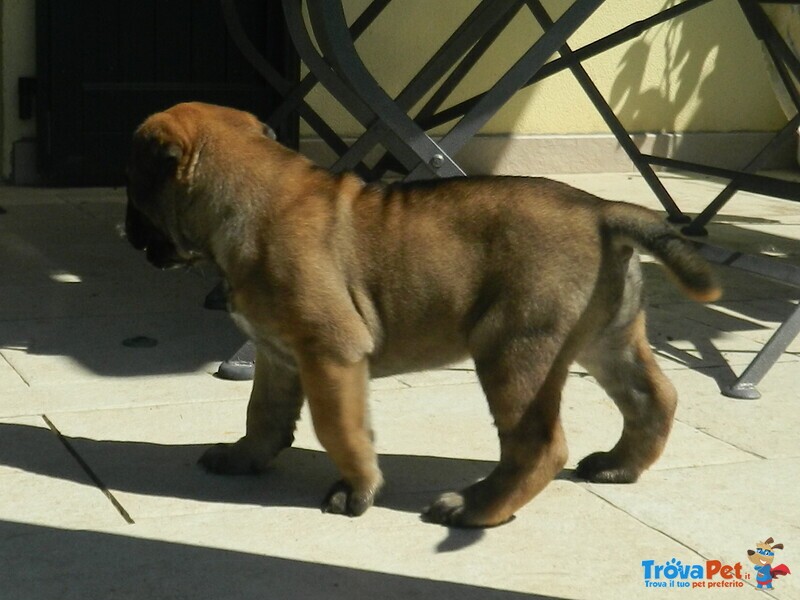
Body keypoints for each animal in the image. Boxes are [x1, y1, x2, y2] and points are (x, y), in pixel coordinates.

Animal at [125, 102, 720, 524]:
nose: (125, 232)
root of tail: (601, 211)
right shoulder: (277, 356)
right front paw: (244, 457)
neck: (249, 197)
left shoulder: (331, 354)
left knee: (540, 445)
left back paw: (476, 509)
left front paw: (356, 490)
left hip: (513, 350)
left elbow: (339, 427)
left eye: (134, 195)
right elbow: (264, 414)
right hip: (607, 339)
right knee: (653, 398)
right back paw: (619, 465)